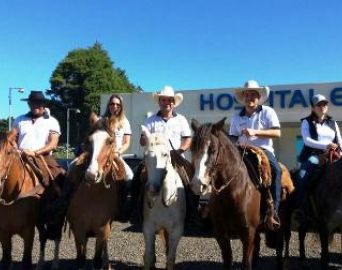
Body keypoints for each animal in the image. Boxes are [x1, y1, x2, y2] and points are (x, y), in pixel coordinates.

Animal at [67, 116, 125, 270]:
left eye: (110, 141)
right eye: (88, 141)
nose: (91, 175)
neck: (94, 197)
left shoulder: (103, 231)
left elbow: (97, 260)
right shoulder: (79, 230)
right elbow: (81, 259)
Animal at [140, 126, 186, 270]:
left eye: (165, 154)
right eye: (145, 156)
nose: (152, 189)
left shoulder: (176, 231)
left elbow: (170, 259)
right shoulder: (148, 227)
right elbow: (148, 257)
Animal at [191, 118, 296, 270]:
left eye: (213, 150)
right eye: (192, 149)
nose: (198, 184)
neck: (233, 191)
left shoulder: (248, 233)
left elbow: (246, 264)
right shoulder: (221, 235)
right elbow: (229, 262)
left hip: (283, 222)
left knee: (281, 246)